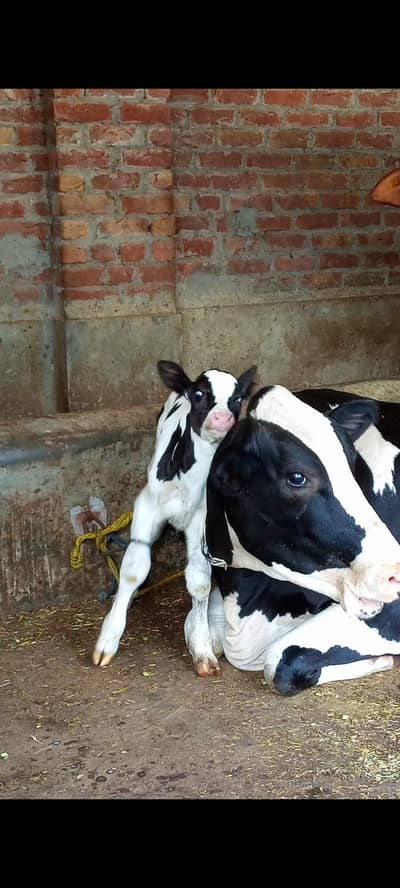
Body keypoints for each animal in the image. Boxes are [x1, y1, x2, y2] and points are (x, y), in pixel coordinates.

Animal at [93, 359, 257, 676]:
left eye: (237, 398)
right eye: (199, 394)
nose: (222, 419)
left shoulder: (202, 523)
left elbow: (200, 581)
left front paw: (202, 648)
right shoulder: (147, 506)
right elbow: (133, 570)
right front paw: (108, 640)